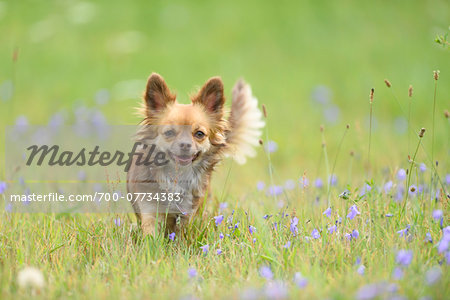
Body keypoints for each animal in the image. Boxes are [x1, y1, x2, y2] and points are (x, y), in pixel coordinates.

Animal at [126, 73, 264, 237]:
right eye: (169, 133)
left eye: (199, 134)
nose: (185, 145)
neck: (176, 178)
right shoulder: (150, 211)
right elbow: (151, 234)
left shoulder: (187, 214)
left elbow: (181, 235)